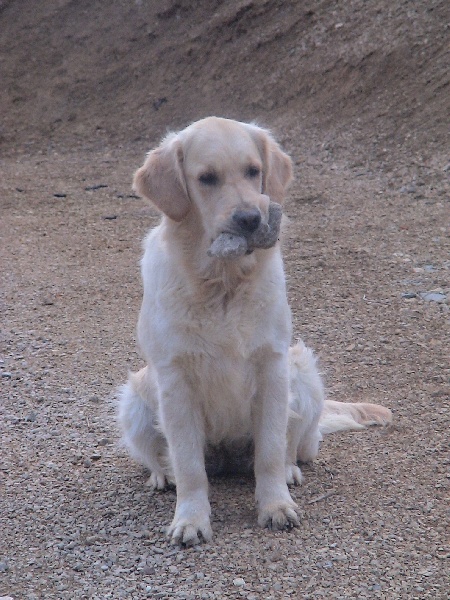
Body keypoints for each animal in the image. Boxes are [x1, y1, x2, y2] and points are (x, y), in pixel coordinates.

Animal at [118, 116, 392, 544]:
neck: (223, 281)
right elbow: (189, 466)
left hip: (302, 373)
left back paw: (290, 470)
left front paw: (275, 506)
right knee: (164, 458)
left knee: (291, 447)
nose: (249, 219)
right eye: (206, 178)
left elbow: (269, 451)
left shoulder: (272, 365)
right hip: (135, 402)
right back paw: (162, 476)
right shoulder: (174, 379)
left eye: (253, 171)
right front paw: (190, 520)